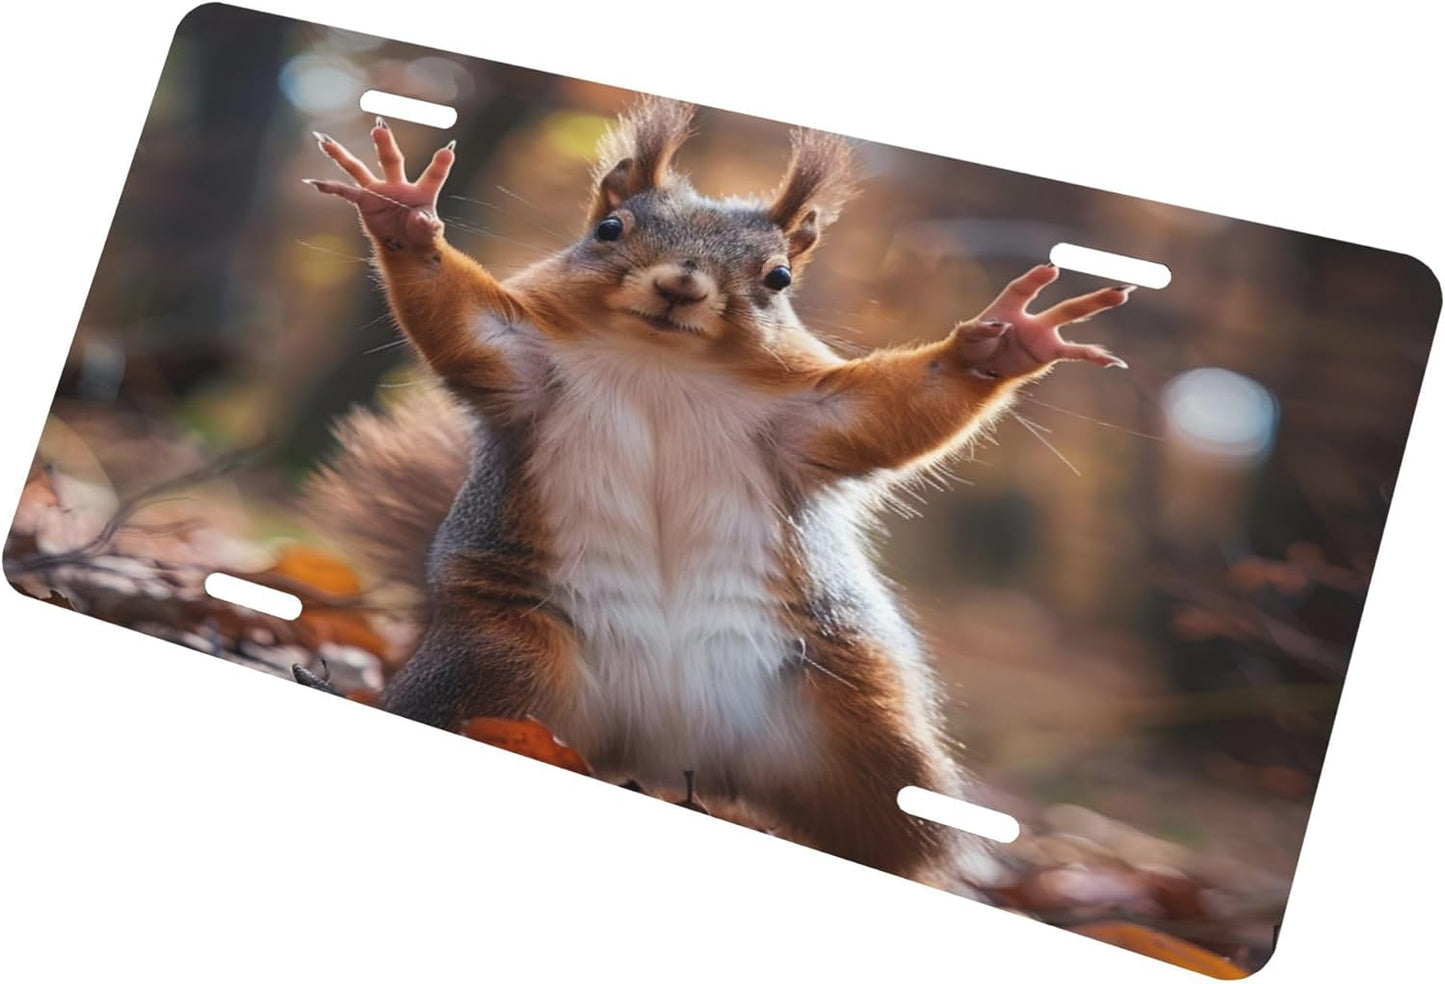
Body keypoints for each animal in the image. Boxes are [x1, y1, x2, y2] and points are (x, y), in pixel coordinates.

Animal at [302, 98, 1131, 887]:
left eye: (778, 278)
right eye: (609, 228)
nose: (681, 284)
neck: (662, 362)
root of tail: (666, 755)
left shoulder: (807, 424)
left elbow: (894, 415)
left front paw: (1007, 343)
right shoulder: (517, 366)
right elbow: (457, 321)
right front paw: (402, 216)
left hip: (854, 728)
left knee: (887, 831)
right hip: (502, 666)